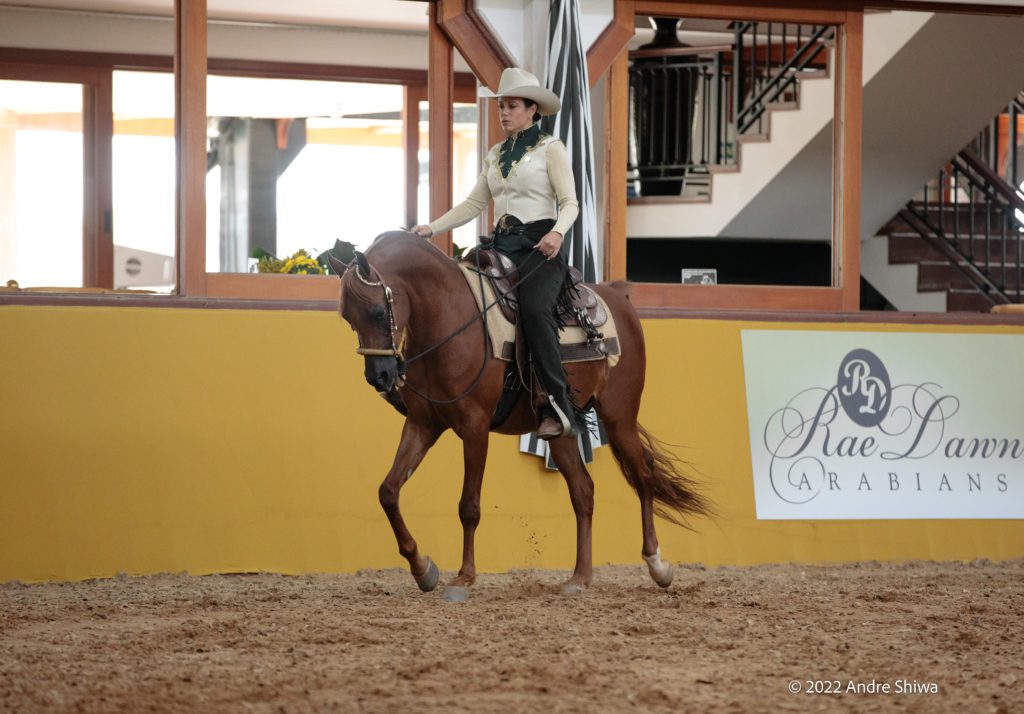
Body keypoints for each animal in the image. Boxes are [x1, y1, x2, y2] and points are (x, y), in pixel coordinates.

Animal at [331, 231, 708, 598]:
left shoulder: (475, 426)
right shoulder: (423, 424)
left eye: (378, 312)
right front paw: (424, 569)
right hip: (562, 429)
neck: (449, 315)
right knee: (583, 491)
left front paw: (463, 578)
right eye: (348, 318)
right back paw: (580, 577)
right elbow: (388, 491)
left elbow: (469, 506)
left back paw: (657, 565)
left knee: (643, 475)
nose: (379, 377)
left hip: (619, 417)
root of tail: (617, 296)